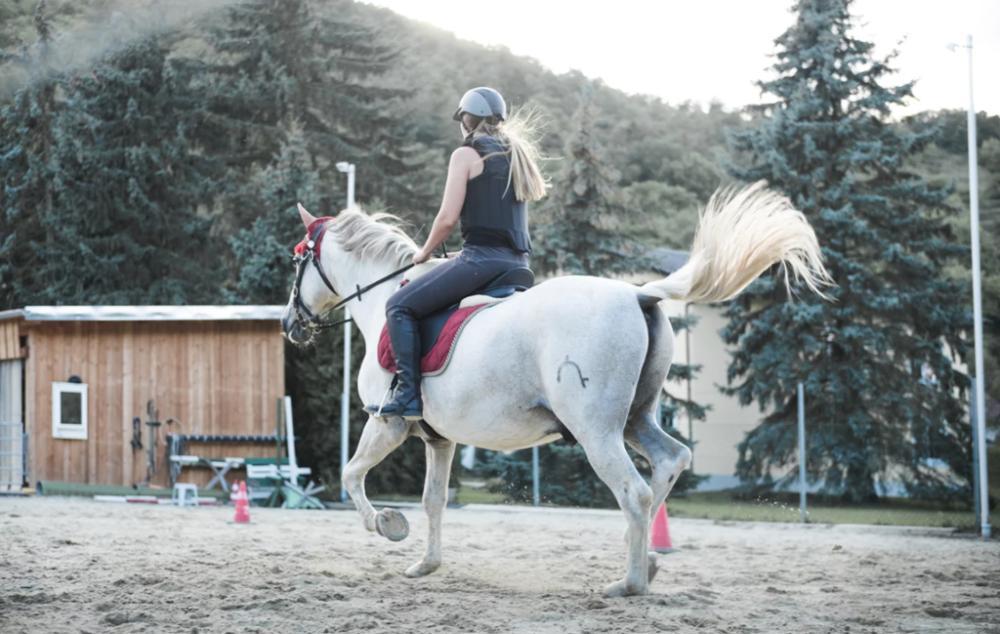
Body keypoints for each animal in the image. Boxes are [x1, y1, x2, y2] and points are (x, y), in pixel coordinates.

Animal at [282, 180, 828, 596]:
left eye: (297, 261)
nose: (291, 324)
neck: (381, 303)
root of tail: (637, 293)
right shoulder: (440, 440)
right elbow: (433, 500)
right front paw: (426, 564)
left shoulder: (387, 422)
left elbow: (352, 474)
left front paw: (387, 525)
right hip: (635, 420)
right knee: (670, 461)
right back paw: (646, 561)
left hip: (597, 432)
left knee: (634, 490)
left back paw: (628, 584)